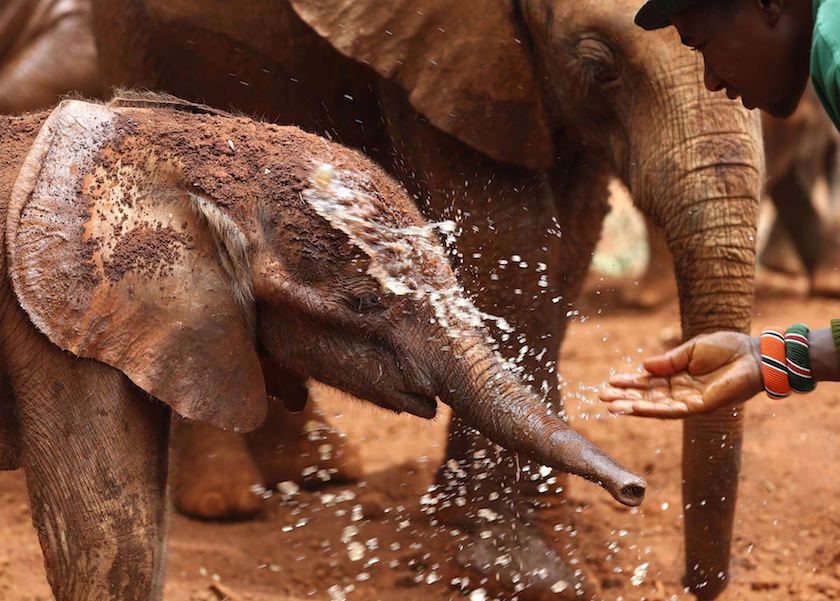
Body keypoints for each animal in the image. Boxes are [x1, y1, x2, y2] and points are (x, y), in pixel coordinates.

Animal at [89, 0, 764, 597]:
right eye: (600, 65)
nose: (635, 493)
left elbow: (569, 241)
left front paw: (523, 516)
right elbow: (510, 239)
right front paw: (519, 568)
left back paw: (318, 473)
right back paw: (224, 501)